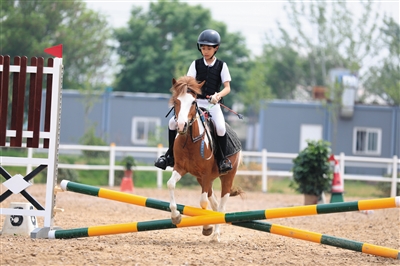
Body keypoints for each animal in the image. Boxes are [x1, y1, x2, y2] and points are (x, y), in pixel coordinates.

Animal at [166, 75, 242, 241]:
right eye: (176, 101)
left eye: (193, 102)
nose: (181, 126)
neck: (190, 141)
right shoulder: (180, 168)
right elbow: (171, 184)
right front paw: (175, 216)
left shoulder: (206, 174)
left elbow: (202, 202)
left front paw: (206, 227)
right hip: (202, 179)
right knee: (214, 203)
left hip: (227, 177)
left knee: (221, 206)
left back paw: (216, 235)